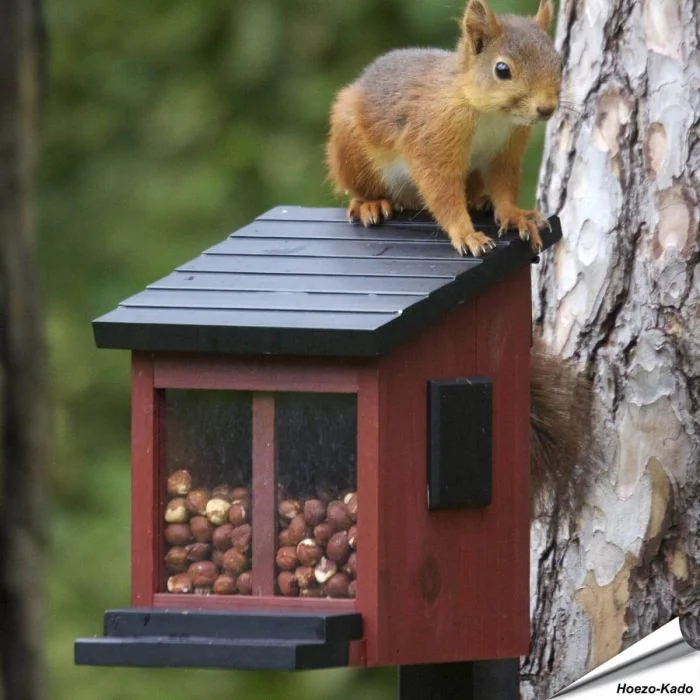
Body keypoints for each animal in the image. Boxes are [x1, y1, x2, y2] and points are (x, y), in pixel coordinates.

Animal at [326, 0, 561, 257]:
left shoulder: (505, 150)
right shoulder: (435, 135)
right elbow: (442, 190)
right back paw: (371, 204)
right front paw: (467, 235)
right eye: (502, 70)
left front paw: (515, 215)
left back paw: (480, 200)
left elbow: (503, 184)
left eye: (559, 62)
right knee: (361, 190)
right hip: (352, 152)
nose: (547, 109)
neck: (491, 115)